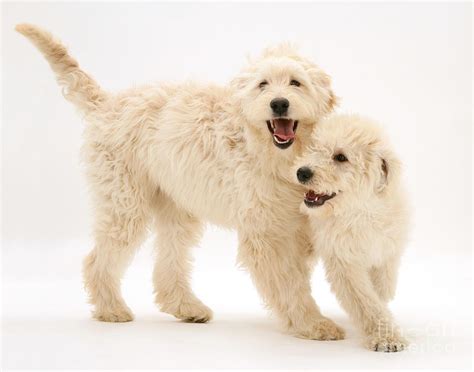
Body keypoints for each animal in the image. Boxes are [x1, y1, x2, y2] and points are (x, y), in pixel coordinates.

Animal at [15, 24, 344, 342]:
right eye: (262, 84)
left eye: (295, 83)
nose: (279, 104)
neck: (273, 153)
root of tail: (108, 104)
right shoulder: (266, 232)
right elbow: (290, 283)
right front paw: (312, 324)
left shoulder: (298, 228)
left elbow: (298, 276)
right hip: (125, 204)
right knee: (97, 259)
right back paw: (111, 308)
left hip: (176, 207)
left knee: (168, 261)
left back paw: (185, 307)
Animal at [296, 115, 412, 354]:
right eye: (314, 148)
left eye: (341, 157)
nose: (302, 172)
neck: (362, 211)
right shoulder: (343, 261)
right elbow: (366, 301)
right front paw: (386, 336)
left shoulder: (388, 252)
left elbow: (382, 288)